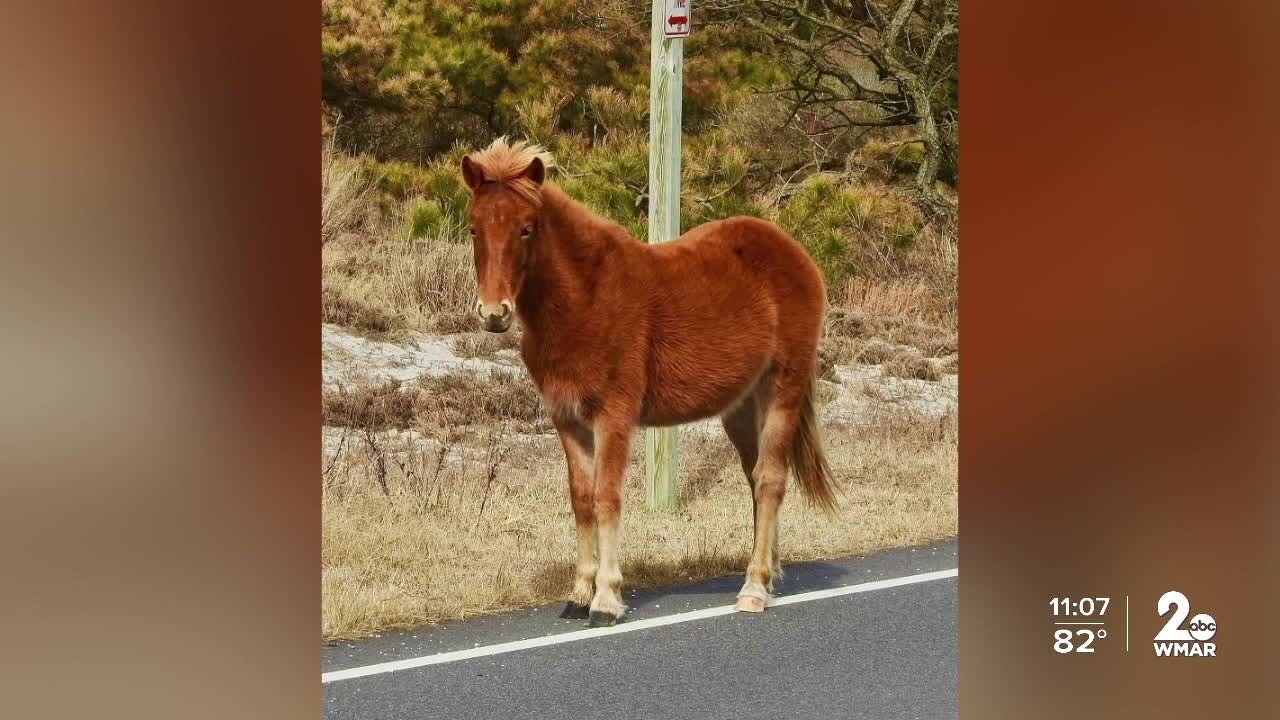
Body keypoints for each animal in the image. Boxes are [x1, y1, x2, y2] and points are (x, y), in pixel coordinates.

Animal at [465, 137, 834, 625]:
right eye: (473, 228)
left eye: (527, 228)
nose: (494, 313)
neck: (585, 299)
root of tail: (798, 256)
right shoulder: (568, 420)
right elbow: (581, 499)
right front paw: (578, 594)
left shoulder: (614, 416)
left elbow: (606, 497)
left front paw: (606, 599)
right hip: (741, 407)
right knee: (756, 478)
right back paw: (770, 574)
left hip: (782, 390)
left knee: (771, 479)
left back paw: (753, 588)